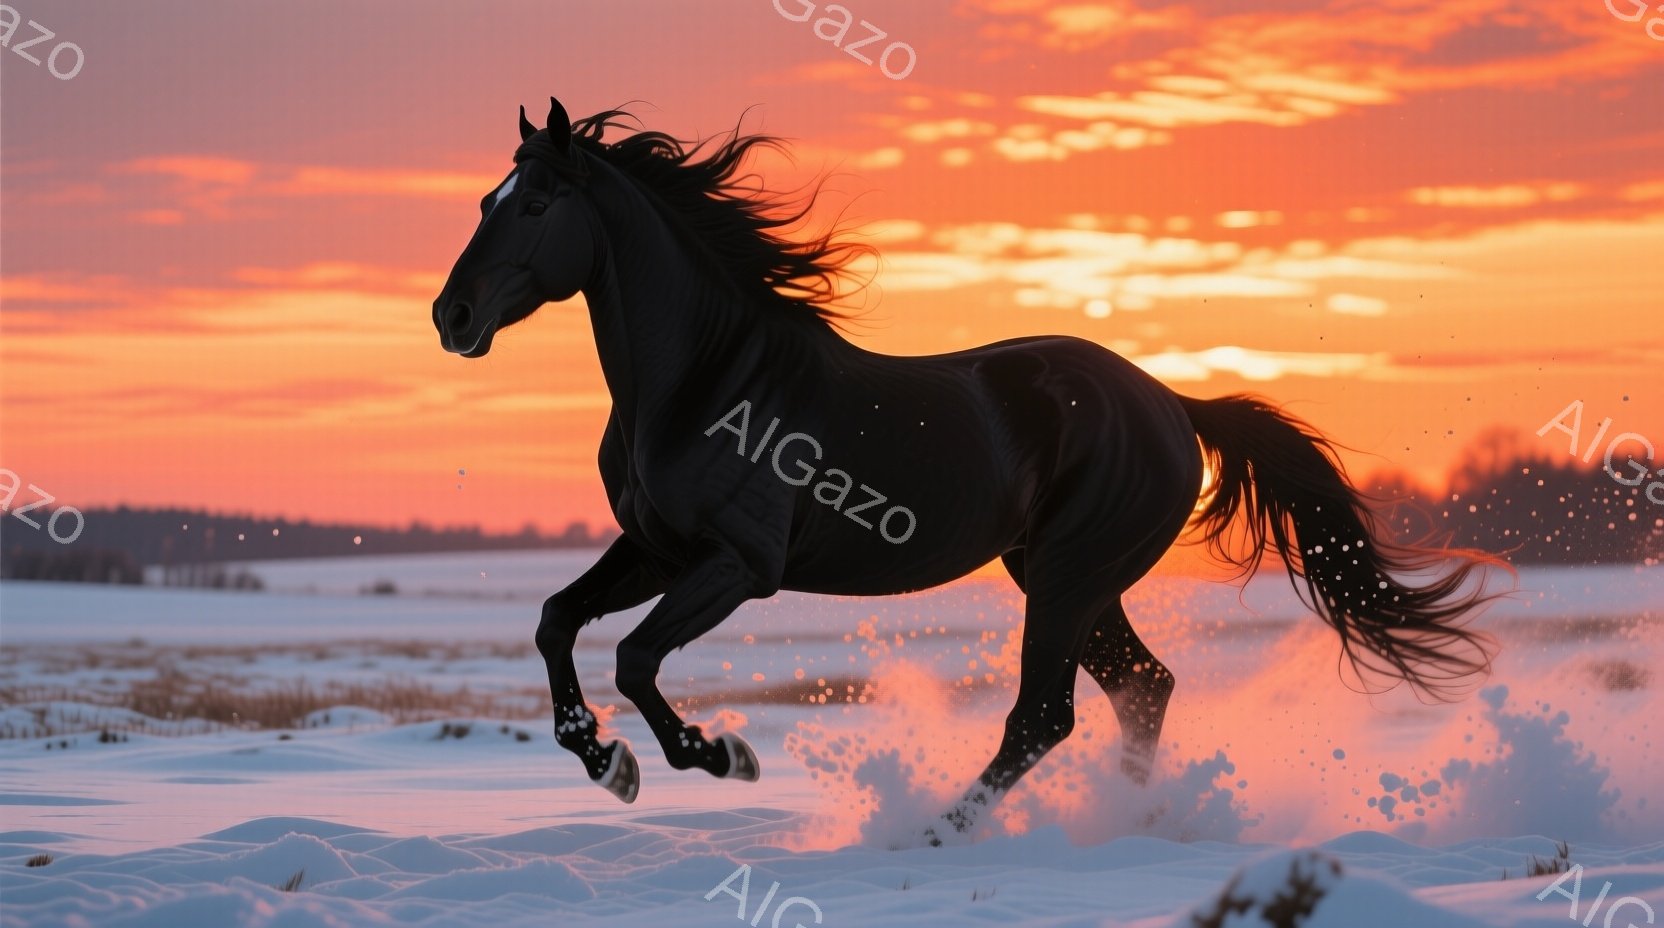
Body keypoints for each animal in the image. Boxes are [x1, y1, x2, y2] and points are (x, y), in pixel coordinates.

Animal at [432, 97, 1504, 843]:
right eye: (485, 199)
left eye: (535, 203)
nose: (451, 316)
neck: (707, 377)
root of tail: (1170, 403)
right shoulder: (655, 549)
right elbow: (556, 621)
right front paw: (602, 758)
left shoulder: (737, 564)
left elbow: (634, 656)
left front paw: (714, 755)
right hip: (1065, 576)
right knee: (1140, 689)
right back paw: (1131, 826)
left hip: (1069, 576)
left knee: (1046, 714)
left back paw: (940, 832)